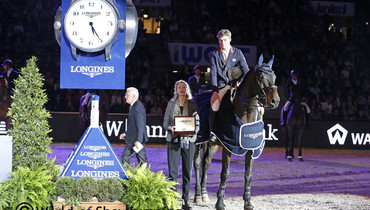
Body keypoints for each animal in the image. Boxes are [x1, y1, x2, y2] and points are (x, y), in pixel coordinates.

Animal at [194, 55, 280, 209]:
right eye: (261, 76)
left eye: (274, 76)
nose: (275, 101)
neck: (246, 112)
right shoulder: (228, 146)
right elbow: (225, 173)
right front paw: (220, 202)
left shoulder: (251, 148)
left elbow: (248, 174)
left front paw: (248, 202)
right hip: (200, 139)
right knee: (198, 163)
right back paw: (197, 196)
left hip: (213, 144)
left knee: (207, 162)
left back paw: (204, 194)